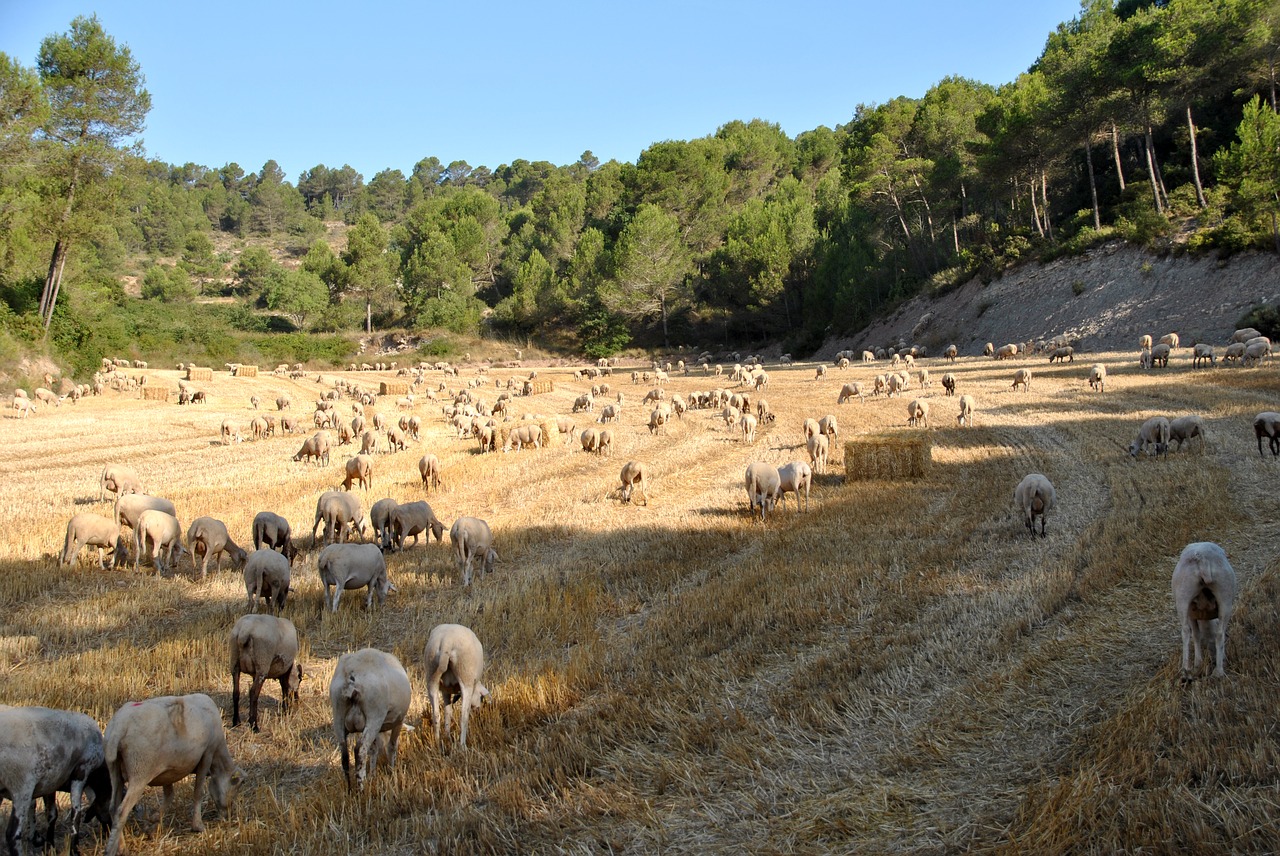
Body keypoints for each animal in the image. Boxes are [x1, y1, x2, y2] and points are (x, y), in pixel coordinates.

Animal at [0, 706, 110, 854]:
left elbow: (52, 814)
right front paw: (74, 849)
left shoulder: (50, 783)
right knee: (12, 834)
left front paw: (50, 845)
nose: (108, 834)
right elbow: (76, 813)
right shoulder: (82, 771)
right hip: (21, 788)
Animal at [103, 690, 239, 854]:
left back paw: (120, 844)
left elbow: (169, 795)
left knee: (113, 808)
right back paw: (115, 849)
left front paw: (154, 821)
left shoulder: (166, 771)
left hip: (114, 770)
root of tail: (118, 729)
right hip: (140, 771)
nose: (228, 815)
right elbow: (198, 792)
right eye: (235, 787)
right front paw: (198, 825)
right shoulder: (207, 754)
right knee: (121, 811)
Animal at [330, 647, 409, 788]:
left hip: (338, 713)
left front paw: (373, 775)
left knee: (344, 753)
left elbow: (373, 750)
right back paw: (362, 787)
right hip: (375, 715)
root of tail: (351, 675)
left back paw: (349, 789)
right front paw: (392, 772)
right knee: (360, 750)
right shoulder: (398, 721)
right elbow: (391, 746)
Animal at [1172, 539, 1233, 680]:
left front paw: (1197, 663)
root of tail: (1202, 558)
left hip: (1183, 595)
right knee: (1220, 633)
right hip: (1224, 595)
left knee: (1185, 631)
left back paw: (1186, 671)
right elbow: (1198, 634)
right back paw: (1217, 671)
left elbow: (1196, 634)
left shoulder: (1192, 614)